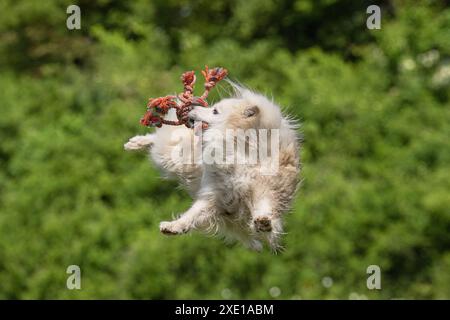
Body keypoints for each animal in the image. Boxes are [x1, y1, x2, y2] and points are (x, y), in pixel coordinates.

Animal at [125, 85, 300, 252]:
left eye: (215, 111)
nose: (192, 106)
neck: (239, 149)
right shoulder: (215, 194)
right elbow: (192, 214)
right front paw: (173, 226)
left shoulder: (266, 189)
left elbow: (264, 207)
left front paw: (264, 223)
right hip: (173, 158)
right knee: (160, 139)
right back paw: (136, 143)